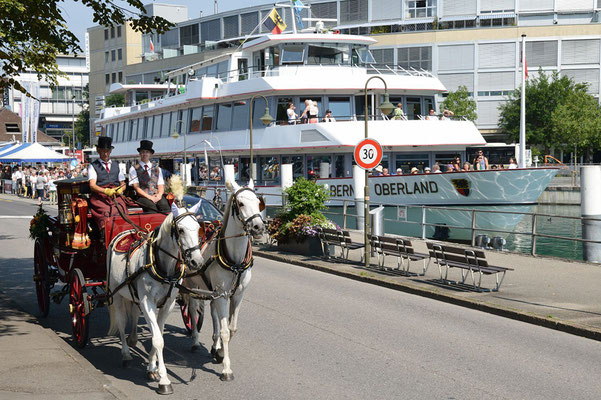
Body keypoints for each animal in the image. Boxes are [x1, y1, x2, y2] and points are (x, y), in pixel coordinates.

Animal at [106, 200, 203, 394]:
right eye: (181, 230)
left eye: (197, 228)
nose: (197, 262)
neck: (162, 266)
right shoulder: (147, 302)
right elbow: (157, 339)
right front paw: (164, 380)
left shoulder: (167, 303)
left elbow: (158, 334)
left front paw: (152, 368)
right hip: (116, 293)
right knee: (120, 321)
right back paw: (126, 354)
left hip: (132, 294)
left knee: (134, 313)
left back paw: (133, 339)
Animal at [182, 180, 264, 382]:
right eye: (240, 203)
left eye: (258, 202)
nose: (258, 227)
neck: (234, 261)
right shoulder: (221, 295)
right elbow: (226, 331)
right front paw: (226, 368)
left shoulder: (236, 295)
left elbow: (231, 328)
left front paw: (219, 352)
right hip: (192, 287)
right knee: (193, 311)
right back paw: (195, 340)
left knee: (214, 315)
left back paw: (214, 344)